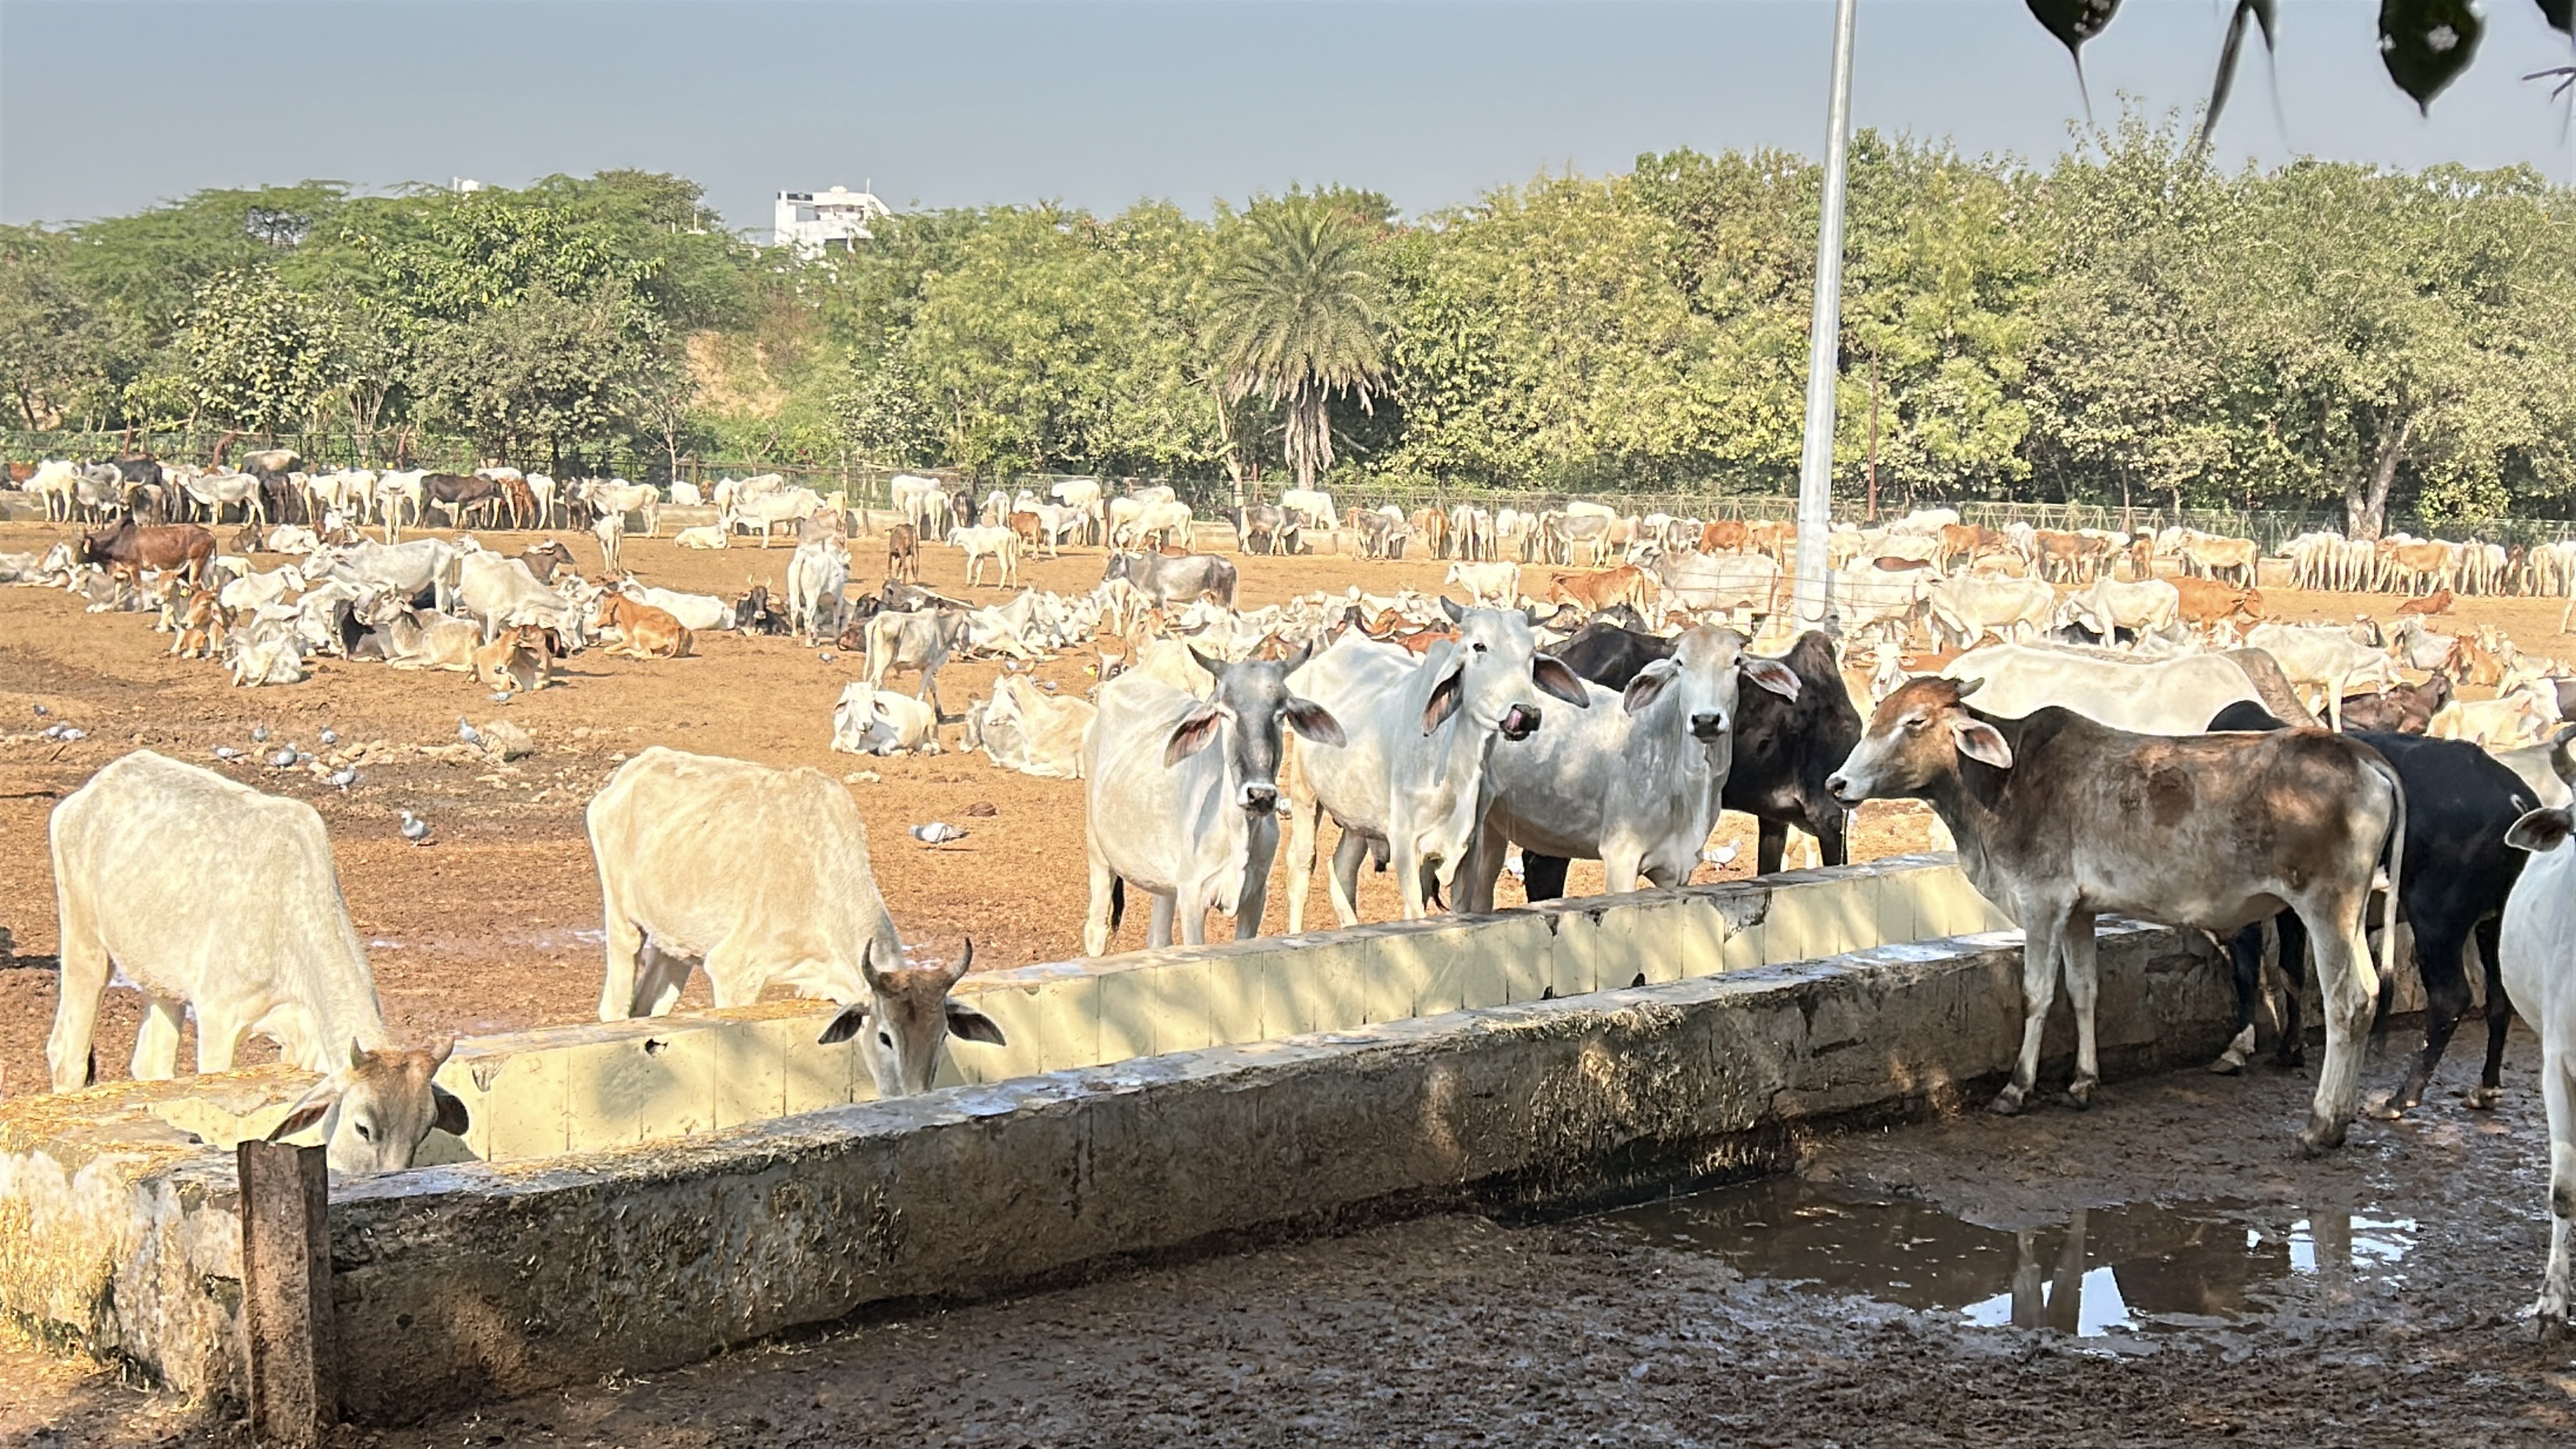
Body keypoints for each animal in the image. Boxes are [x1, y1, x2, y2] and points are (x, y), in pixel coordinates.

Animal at [48, 752, 467, 1172]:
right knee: (66, 1051)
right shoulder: (219, 1017)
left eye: (423, 1130)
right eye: (362, 1127)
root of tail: (95, 787)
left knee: (152, 1063)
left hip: (162, 981)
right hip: (85, 942)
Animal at [587, 748, 1003, 1096]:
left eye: (943, 1035)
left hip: (676, 949)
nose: (913, 1095)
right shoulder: (734, 970)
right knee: (615, 1006)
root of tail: (634, 769)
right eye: (885, 1037)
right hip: (623, 922)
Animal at [1082, 646, 1345, 952]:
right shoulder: (1193, 897)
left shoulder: (1256, 896)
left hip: (1164, 883)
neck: (1237, 831)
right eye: (1225, 712)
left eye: (1281, 713)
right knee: (1096, 928)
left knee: (1159, 937)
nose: (1260, 795)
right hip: (1099, 853)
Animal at [1282, 603, 1591, 927]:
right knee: (1302, 865)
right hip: (1304, 792)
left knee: (1342, 867)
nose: (1526, 714)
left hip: (1355, 815)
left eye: (1531, 652)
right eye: (1479, 646)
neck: (1456, 771)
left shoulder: (1469, 848)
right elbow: (1415, 913)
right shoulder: (1405, 845)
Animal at [1828, 676, 2402, 1151]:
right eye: (1877, 714)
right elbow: (2084, 990)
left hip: (2325, 906)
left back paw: (2320, 1125)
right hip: (2349, 914)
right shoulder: (2079, 911)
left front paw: (2016, 1088)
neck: (2005, 783)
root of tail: (2360, 754)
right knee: (2371, 994)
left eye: (1914, 722)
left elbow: (2037, 994)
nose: (1837, 784)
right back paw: (2340, 1118)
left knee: (2346, 1003)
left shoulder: (2041, 903)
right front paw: (2083, 1082)